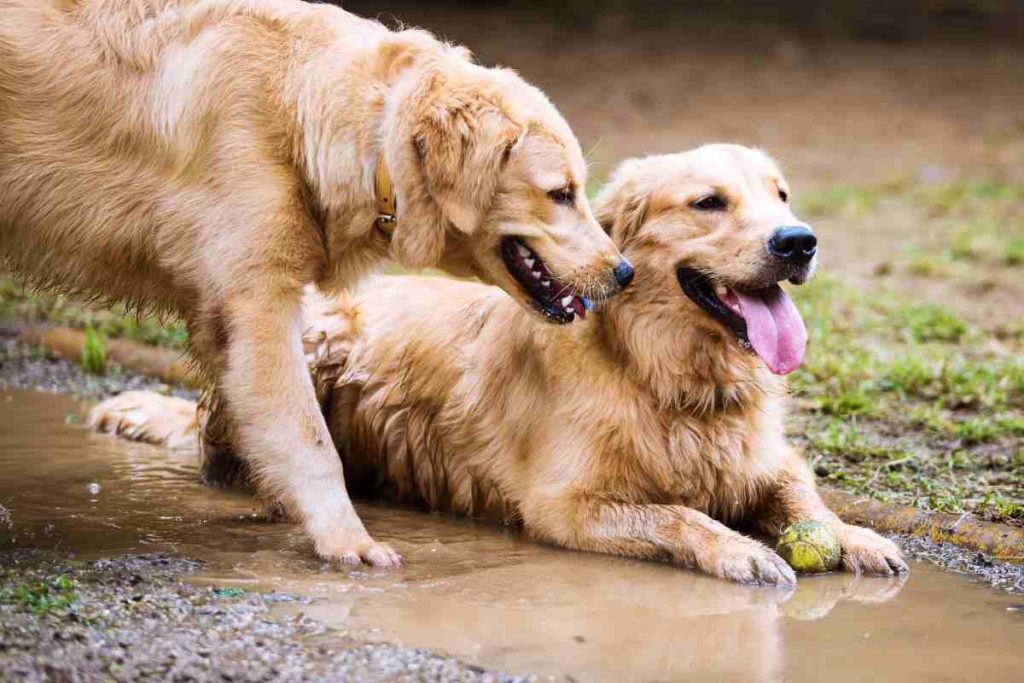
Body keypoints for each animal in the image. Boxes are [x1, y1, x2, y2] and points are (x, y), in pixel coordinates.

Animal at [0, 0, 626, 565]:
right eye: (561, 193)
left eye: (579, 188)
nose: (623, 272)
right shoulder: (258, 302)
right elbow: (310, 438)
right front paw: (349, 541)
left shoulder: (226, 314)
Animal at [88, 143, 905, 581]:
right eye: (709, 202)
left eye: (781, 194)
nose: (799, 241)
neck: (667, 377)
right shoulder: (567, 506)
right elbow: (680, 513)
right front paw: (741, 550)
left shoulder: (767, 459)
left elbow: (805, 496)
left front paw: (856, 537)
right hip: (307, 340)